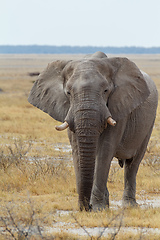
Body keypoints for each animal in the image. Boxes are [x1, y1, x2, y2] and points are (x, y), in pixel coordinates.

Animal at [28, 51, 158, 211]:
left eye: (106, 91)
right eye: (68, 93)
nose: (86, 207)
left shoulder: (119, 108)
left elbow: (104, 151)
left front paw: (98, 208)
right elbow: (77, 150)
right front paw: (94, 208)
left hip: (149, 122)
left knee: (132, 164)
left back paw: (129, 205)